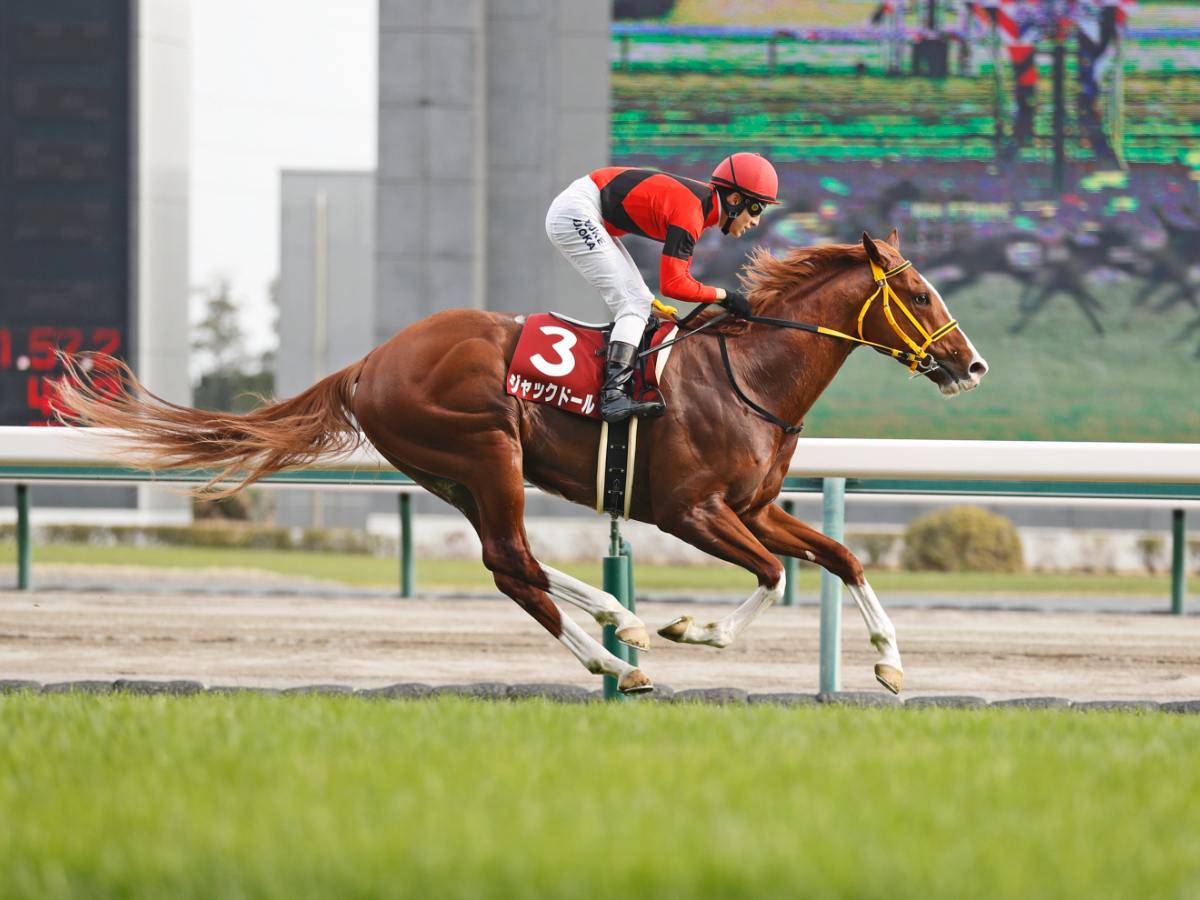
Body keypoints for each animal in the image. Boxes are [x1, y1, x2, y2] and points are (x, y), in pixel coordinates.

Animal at [58, 232, 984, 696]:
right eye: (920, 293)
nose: (969, 365)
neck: (750, 374)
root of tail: (368, 362)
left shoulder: (754, 507)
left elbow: (841, 556)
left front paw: (890, 661)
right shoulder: (692, 511)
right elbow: (774, 574)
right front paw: (696, 629)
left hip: (455, 473)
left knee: (512, 569)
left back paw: (616, 655)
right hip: (485, 449)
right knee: (517, 560)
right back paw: (623, 628)